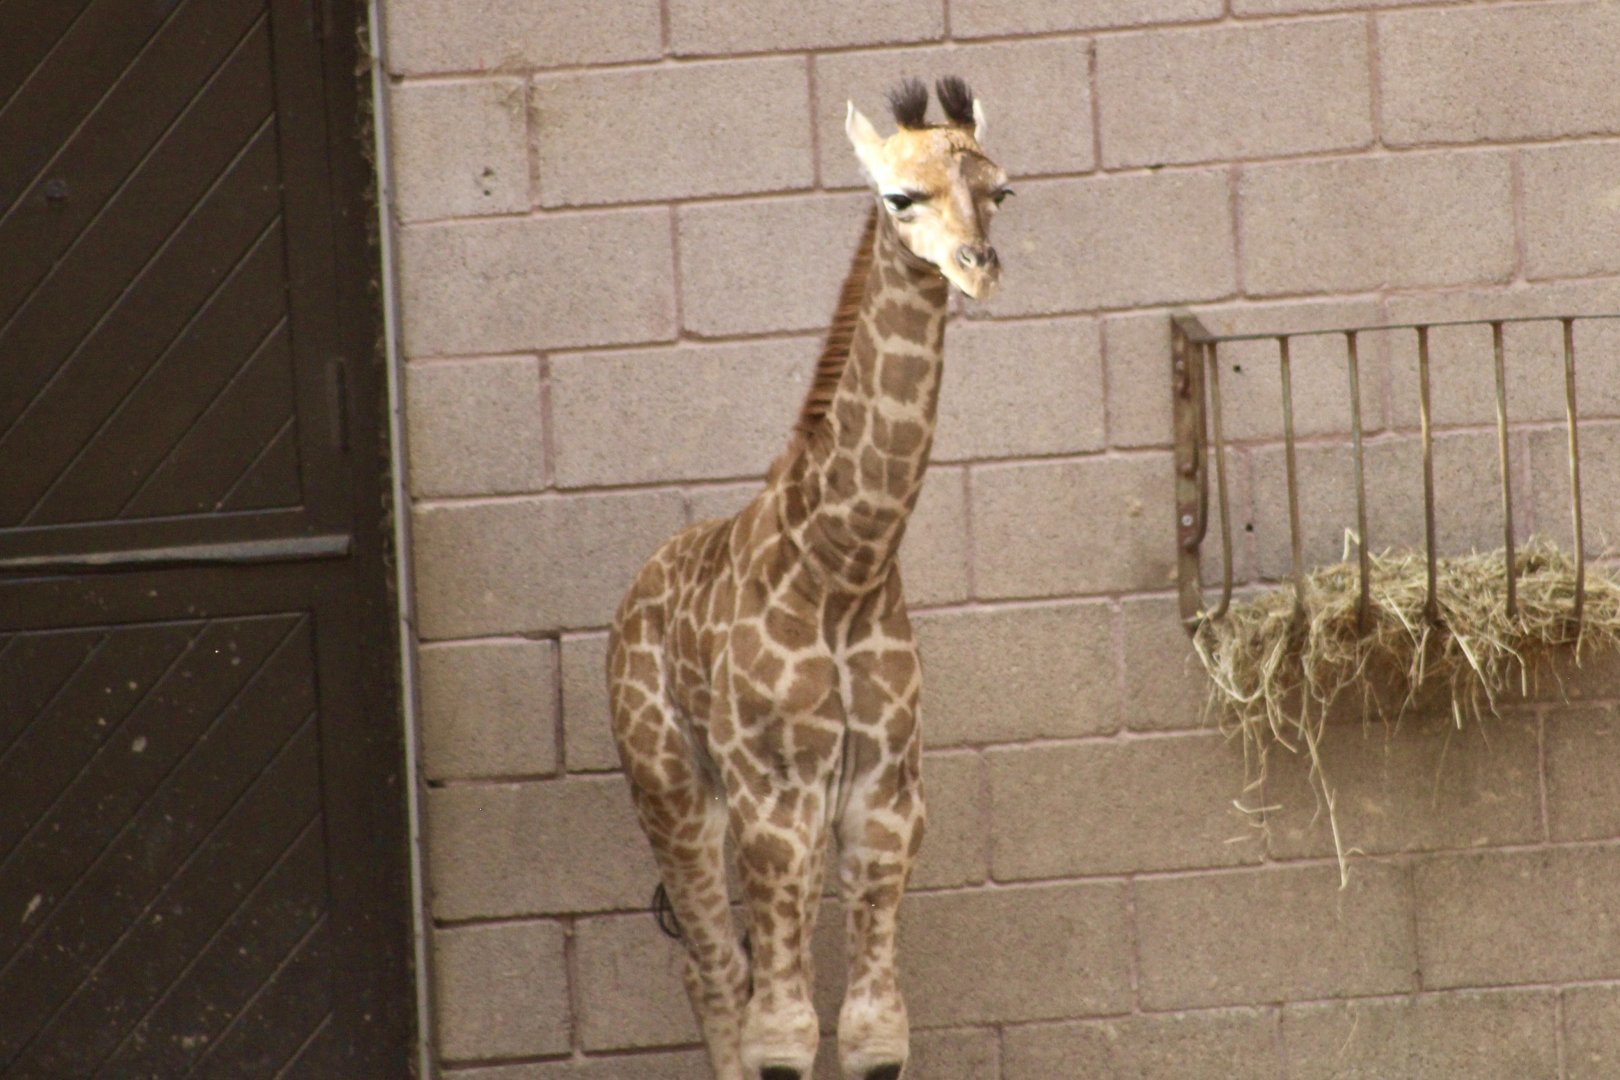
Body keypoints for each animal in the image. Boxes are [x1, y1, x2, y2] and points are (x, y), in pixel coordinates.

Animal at [607, 77, 1012, 1080]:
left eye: (1002, 189)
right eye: (900, 197)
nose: (979, 267)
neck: (846, 560)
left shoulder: (885, 797)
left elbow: (873, 1029)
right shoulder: (776, 797)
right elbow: (784, 1032)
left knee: (721, 970)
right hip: (672, 789)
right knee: (717, 974)